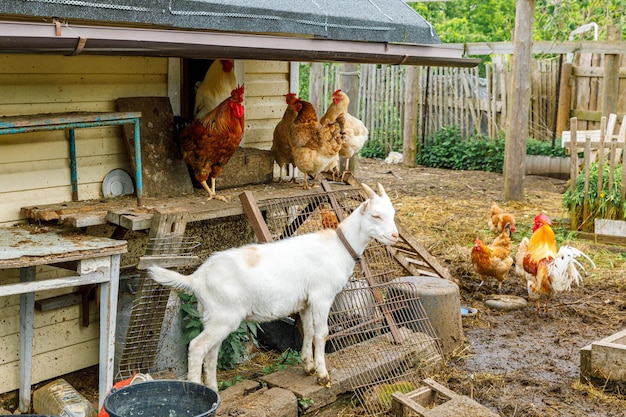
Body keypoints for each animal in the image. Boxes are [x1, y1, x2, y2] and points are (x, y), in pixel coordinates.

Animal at [149, 183, 398, 390]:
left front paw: (308, 366)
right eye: (376, 215)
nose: (395, 235)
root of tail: (198, 278)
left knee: (211, 353)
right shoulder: (322, 296)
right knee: (197, 347)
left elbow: (308, 330)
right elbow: (321, 333)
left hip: (213, 317)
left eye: (393, 214)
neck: (338, 246)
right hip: (223, 316)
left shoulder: (306, 301)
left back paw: (213, 390)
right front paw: (322, 375)